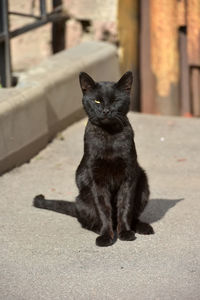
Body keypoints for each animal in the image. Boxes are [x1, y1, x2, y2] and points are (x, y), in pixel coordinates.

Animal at [33, 71, 154, 247]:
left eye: (115, 100)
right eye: (97, 100)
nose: (106, 110)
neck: (109, 136)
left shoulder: (128, 176)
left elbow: (125, 207)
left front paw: (124, 232)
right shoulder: (96, 179)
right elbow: (103, 209)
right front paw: (106, 236)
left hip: (143, 185)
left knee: (133, 216)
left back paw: (142, 227)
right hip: (84, 199)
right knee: (86, 221)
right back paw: (100, 229)